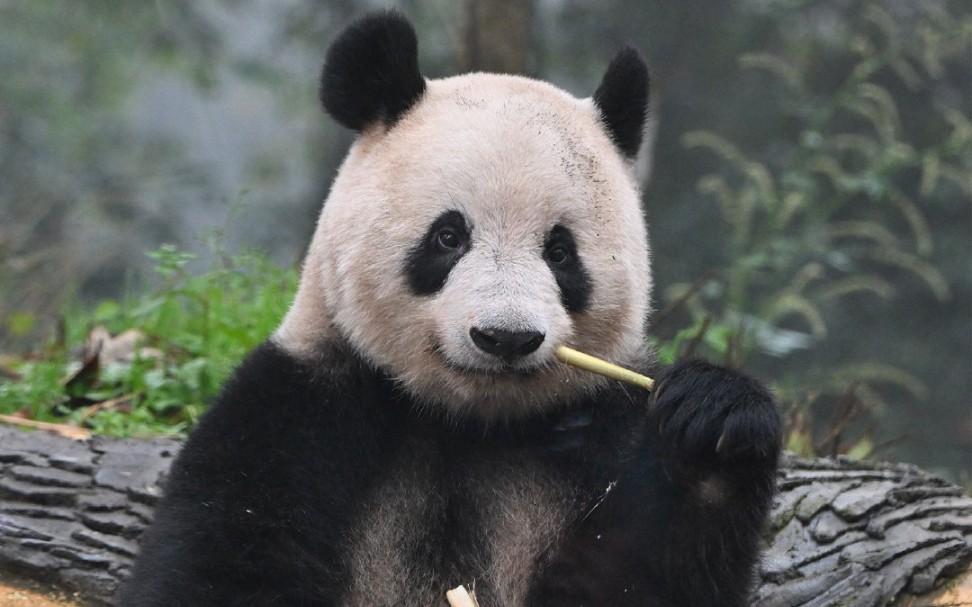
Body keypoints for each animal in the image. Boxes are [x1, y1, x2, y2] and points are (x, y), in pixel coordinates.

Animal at [117, 10, 784, 607]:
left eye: (560, 252)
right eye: (448, 236)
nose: (506, 337)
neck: (468, 421)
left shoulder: (601, 428)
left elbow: (643, 577)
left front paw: (715, 425)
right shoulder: (297, 411)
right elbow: (222, 561)